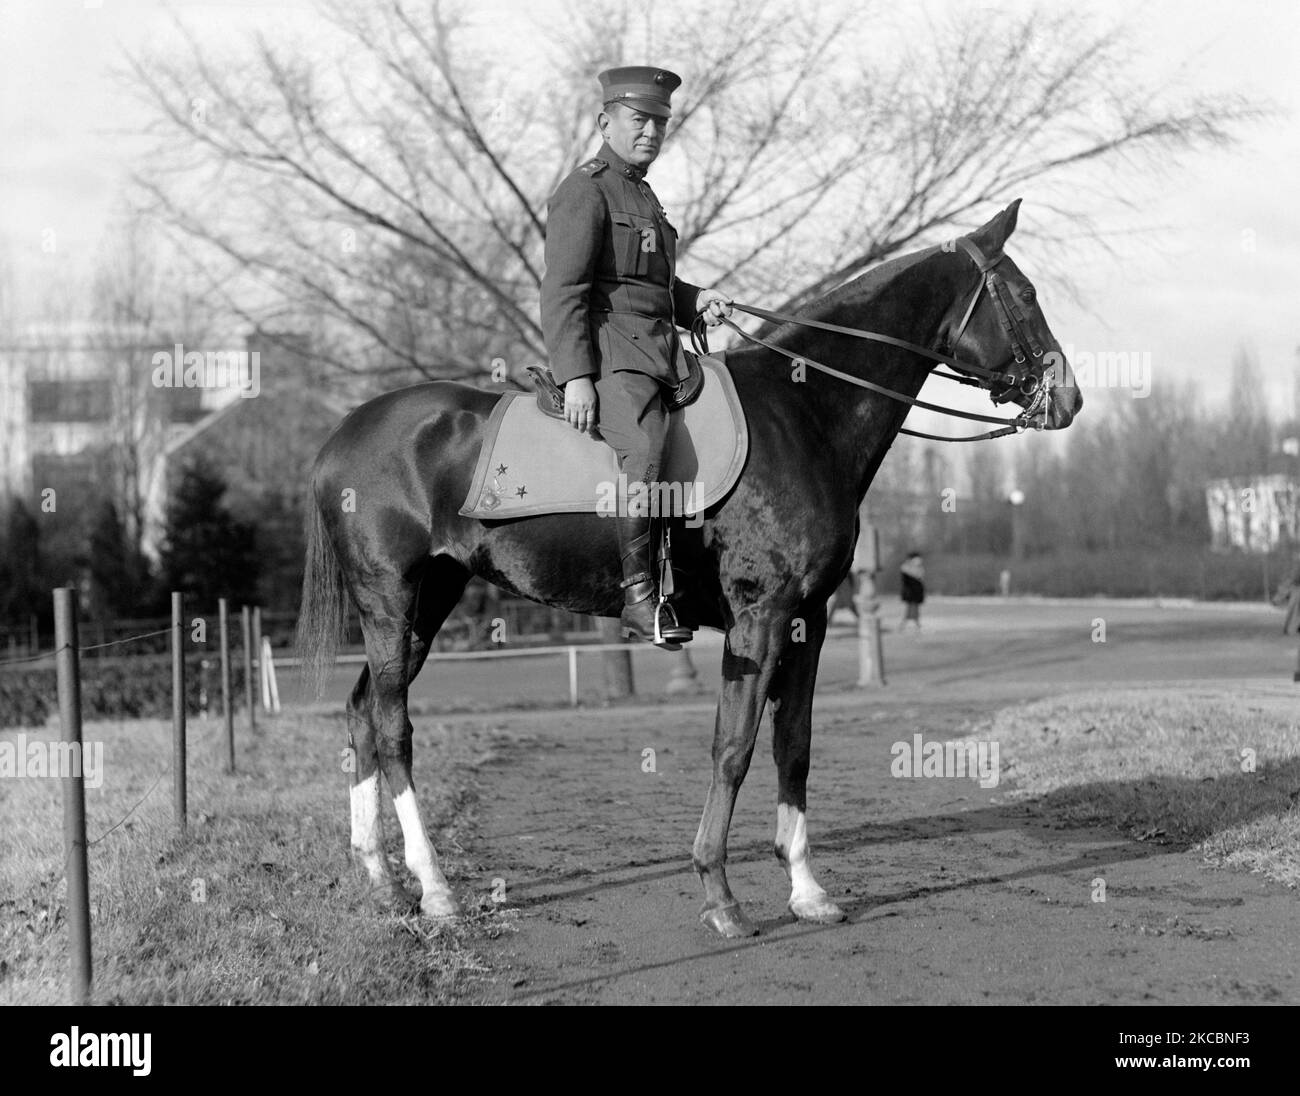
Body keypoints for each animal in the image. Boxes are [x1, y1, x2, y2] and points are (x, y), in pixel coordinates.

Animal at [299, 197, 1081, 936]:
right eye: (1025, 292)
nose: (1069, 396)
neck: (802, 410)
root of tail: (343, 435)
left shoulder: (810, 620)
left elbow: (793, 748)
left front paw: (807, 890)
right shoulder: (760, 618)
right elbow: (733, 748)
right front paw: (720, 894)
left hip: (428, 604)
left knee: (362, 713)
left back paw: (383, 881)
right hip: (392, 603)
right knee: (393, 728)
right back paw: (434, 888)